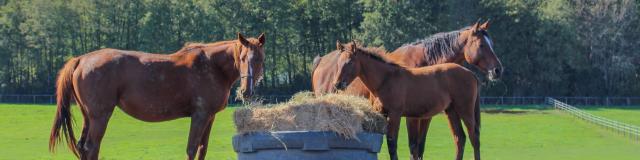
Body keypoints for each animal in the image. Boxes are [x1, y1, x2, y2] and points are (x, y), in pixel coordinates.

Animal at [48, 33, 266, 159]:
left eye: (260, 59)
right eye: (242, 58)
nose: (246, 91)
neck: (212, 65)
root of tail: (81, 59)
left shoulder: (209, 117)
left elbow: (202, 149)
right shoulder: (200, 115)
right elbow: (191, 148)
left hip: (88, 116)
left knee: (83, 147)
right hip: (100, 117)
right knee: (92, 147)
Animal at [336, 42, 480, 160]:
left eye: (349, 62)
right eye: (339, 62)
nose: (337, 84)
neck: (386, 79)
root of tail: (470, 73)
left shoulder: (395, 114)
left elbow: (392, 142)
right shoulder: (382, 113)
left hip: (465, 111)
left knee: (474, 138)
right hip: (451, 111)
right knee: (460, 138)